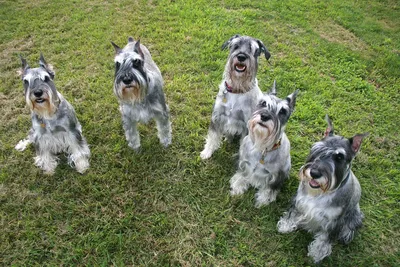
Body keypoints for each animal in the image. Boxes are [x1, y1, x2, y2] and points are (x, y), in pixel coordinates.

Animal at [278, 115, 368, 264]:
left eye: (339, 157)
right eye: (317, 149)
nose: (314, 173)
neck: (320, 193)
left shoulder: (334, 222)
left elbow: (325, 239)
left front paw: (317, 253)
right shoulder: (299, 201)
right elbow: (292, 213)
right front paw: (285, 225)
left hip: (355, 214)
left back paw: (346, 234)